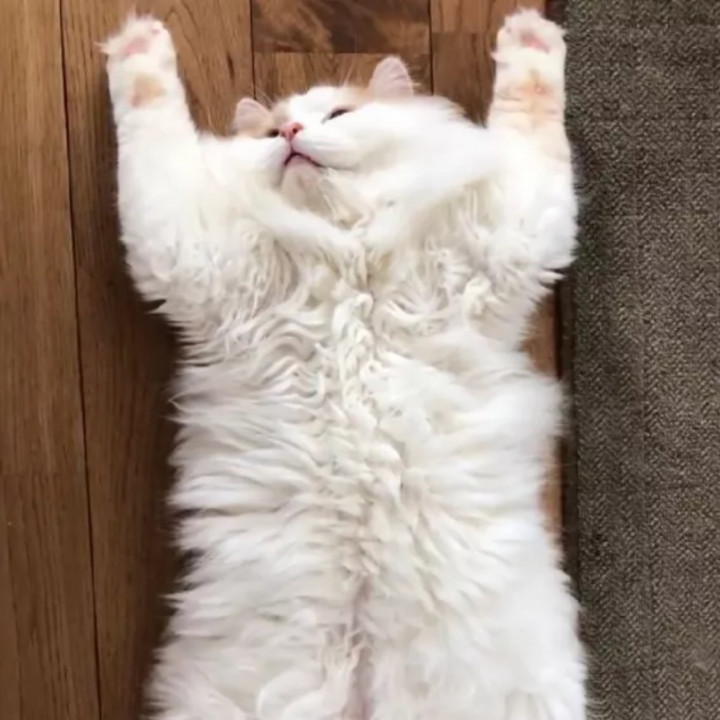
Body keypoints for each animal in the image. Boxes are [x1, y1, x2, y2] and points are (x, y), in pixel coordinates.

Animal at [103, 9, 584, 720]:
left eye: (336, 115)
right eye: (271, 131)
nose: (293, 135)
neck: (346, 251)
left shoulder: (514, 227)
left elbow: (529, 103)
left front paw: (530, 34)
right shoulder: (188, 244)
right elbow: (148, 109)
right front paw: (137, 44)